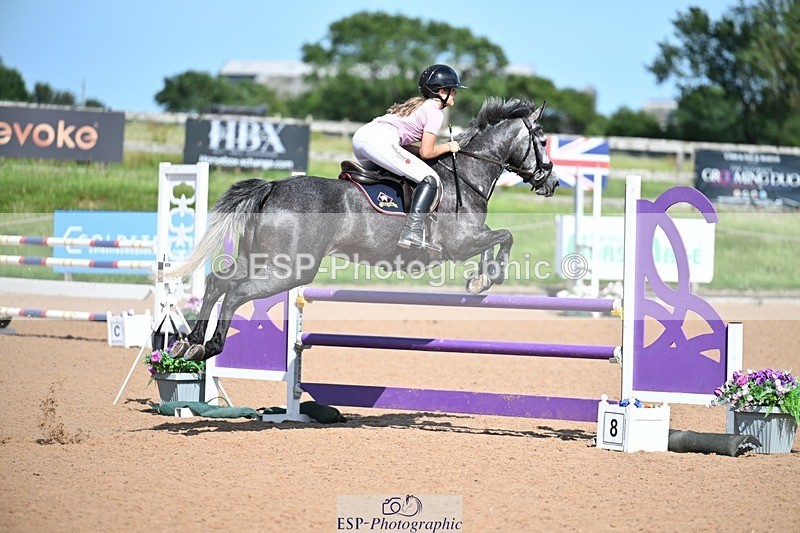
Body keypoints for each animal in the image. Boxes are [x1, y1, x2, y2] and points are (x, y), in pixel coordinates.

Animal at [167, 97, 560, 361]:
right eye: (542, 140)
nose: (552, 182)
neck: (465, 173)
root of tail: (273, 187)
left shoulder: (472, 238)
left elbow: (497, 238)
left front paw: (480, 278)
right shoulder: (460, 243)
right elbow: (505, 236)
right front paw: (488, 278)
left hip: (259, 258)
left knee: (218, 280)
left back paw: (190, 342)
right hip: (291, 270)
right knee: (234, 291)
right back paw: (209, 346)